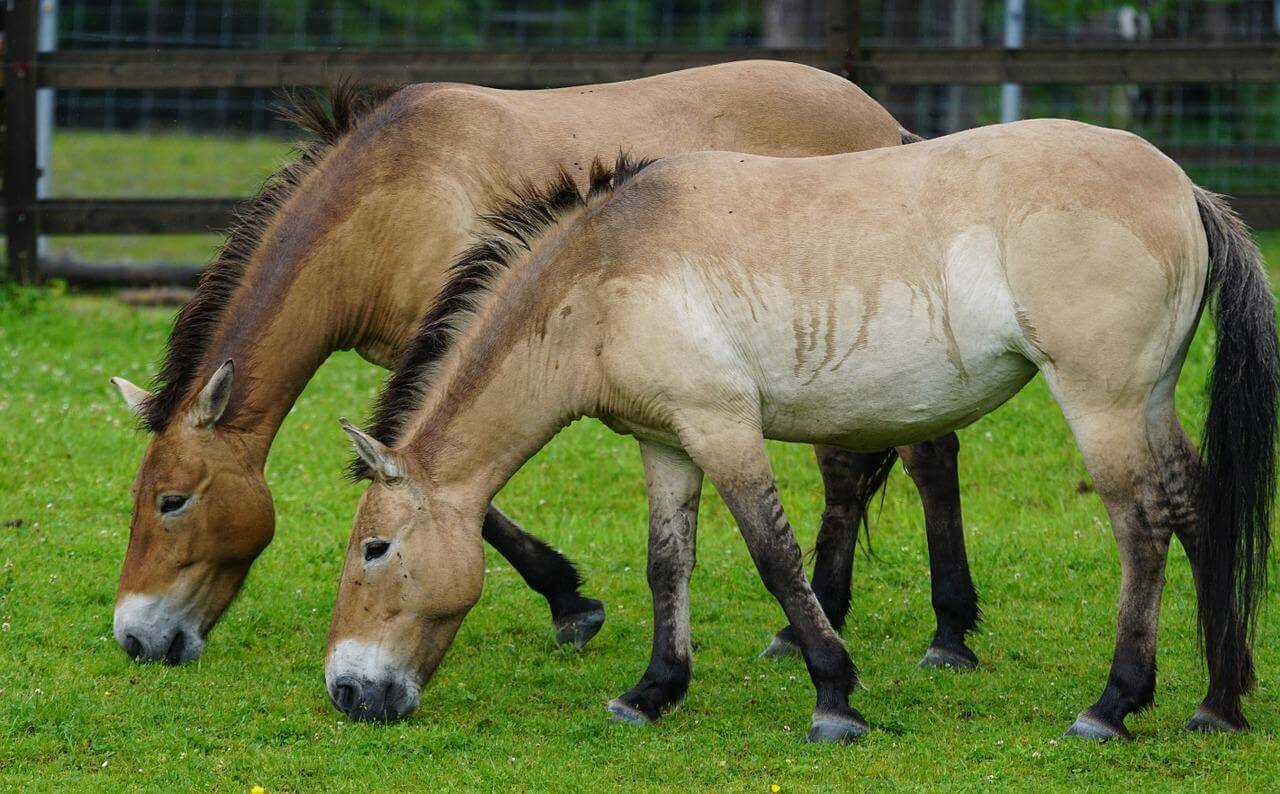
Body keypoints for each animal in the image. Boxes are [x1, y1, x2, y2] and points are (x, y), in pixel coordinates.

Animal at [112, 63, 988, 671]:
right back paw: (817, 620)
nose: (136, 639)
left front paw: (570, 602)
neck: (392, 199)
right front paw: (569, 599)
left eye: (172, 501)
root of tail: (890, 124)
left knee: (925, 458)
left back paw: (946, 632)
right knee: (853, 475)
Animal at [332, 119, 1280, 742]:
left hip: (1103, 406)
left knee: (1143, 529)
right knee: (1197, 510)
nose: (347, 692)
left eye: (375, 549)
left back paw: (1114, 704)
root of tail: (1183, 187)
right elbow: (667, 563)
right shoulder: (665, 443)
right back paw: (1217, 702)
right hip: (1148, 402)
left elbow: (775, 557)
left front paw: (834, 696)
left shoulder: (724, 431)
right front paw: (652, 691)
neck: (604, 272)